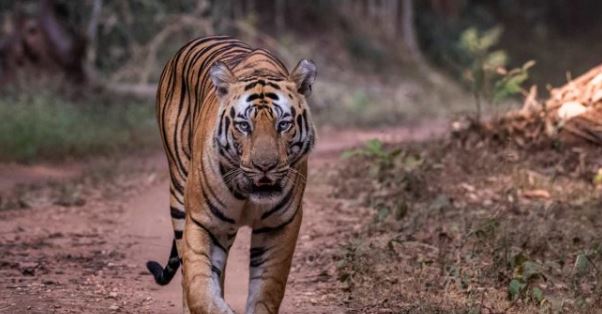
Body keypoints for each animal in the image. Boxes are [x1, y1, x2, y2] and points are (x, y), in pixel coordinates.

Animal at [145, 35, 316, 314]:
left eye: (283, 125)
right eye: (244, 126)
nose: (264, 166)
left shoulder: (280, 224)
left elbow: (267, 288)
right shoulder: (203, 220)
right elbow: (198, 286)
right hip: (180, 195)